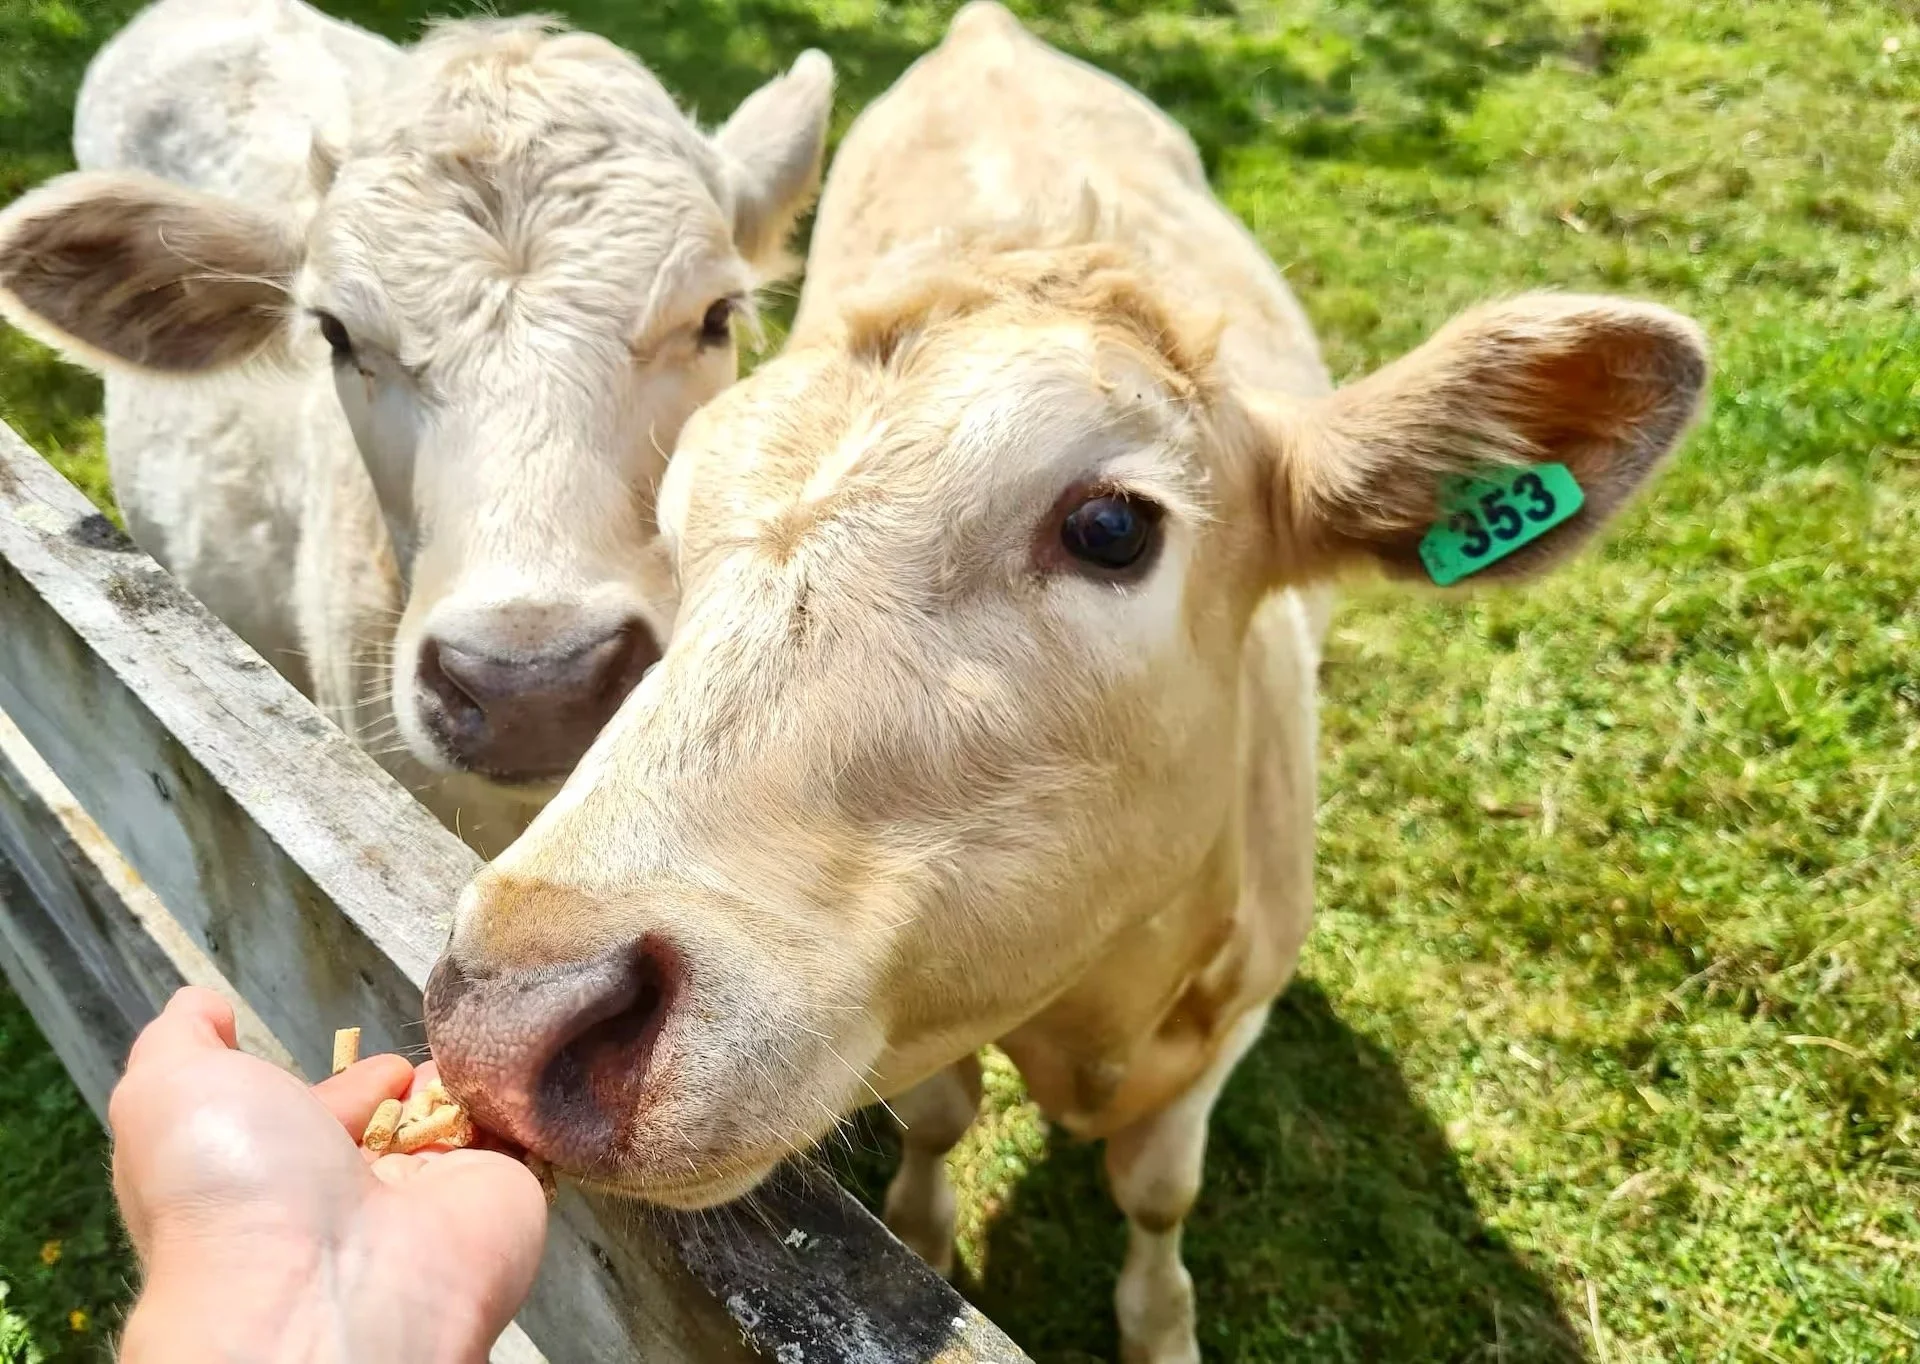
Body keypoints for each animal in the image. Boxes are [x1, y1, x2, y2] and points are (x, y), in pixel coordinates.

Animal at [422, 5, 1708, 1359]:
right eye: (675, 539)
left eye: (1110, 525)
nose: (513, 1008)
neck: (1099, 1005)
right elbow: (941, 1120)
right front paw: (926, 1229)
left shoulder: (1228, 1018)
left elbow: (1159, 1192)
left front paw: (1161, 1320)